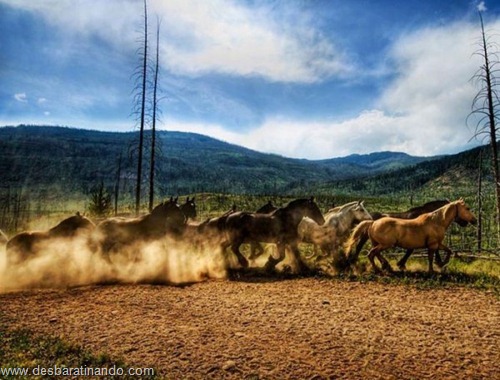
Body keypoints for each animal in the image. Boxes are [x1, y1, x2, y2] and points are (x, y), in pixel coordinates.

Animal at [344, 199, 476, 274]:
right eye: (467, 208)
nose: (474, 220)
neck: (436, 221)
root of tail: (372, 222)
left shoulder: (437, 244)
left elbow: (448, 251)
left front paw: (442, 264)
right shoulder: (432, 244)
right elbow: (430, 257)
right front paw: (433, 269)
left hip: (378, 243)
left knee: (374, 253)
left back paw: (384, 266)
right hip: (385, 244)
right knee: (370, 253)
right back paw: (378, 268)